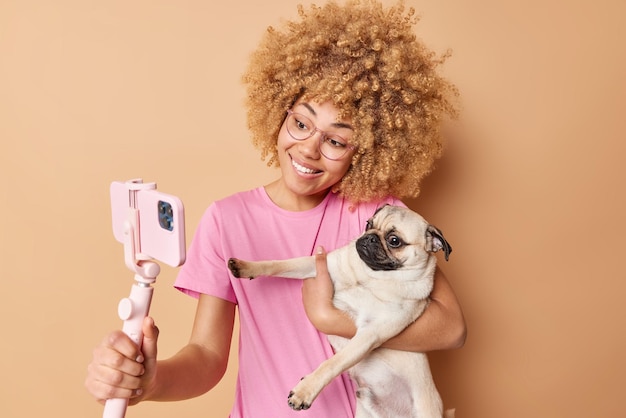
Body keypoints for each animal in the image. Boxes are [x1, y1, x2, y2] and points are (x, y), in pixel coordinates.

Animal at [227, 206, 450, 418]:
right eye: (368, 224)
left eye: (394, 241)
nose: (369, 237)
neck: (371, 277)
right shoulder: (317, 265)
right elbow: (280, 264)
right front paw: (246, 267)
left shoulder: (370, 335)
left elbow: (332, 364)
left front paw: (304, 391)